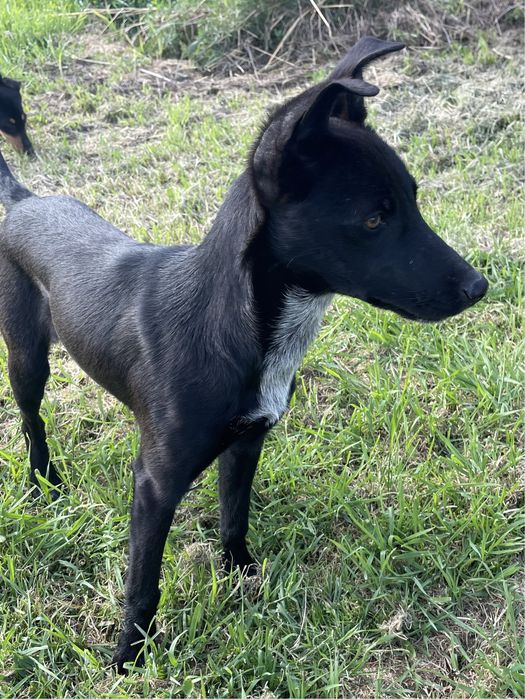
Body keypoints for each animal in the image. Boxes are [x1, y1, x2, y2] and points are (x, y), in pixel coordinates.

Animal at [0, 37, 488, 672]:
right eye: (373, 219)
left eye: (413, 199)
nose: (479, 287)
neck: (237, 324)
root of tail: (22, 200)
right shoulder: (154, 482)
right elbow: (143, 582)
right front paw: (129, 655)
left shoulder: (248, 441)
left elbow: (234, 516)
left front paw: (242, 577)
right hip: (26, 356)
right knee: (31, 419)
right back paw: (44, 482)